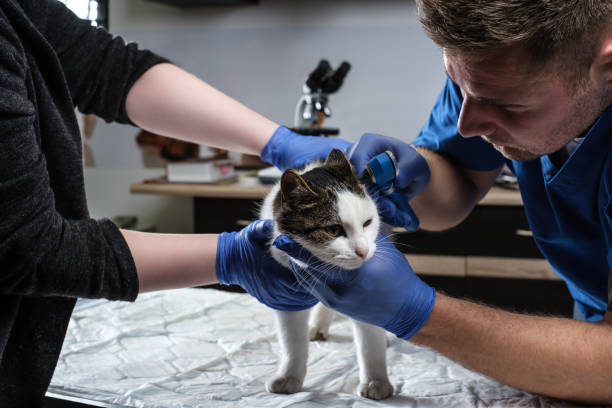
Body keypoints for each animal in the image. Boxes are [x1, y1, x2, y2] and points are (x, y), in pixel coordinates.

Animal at [256, 148, 392, 400]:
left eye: (367, 223)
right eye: (333, 230)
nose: (363, 251)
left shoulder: (364, 297)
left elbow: (370, 344)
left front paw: (376, 382)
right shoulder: (287, 298)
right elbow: (292, 344)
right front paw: (289, 377)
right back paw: (317, 326)